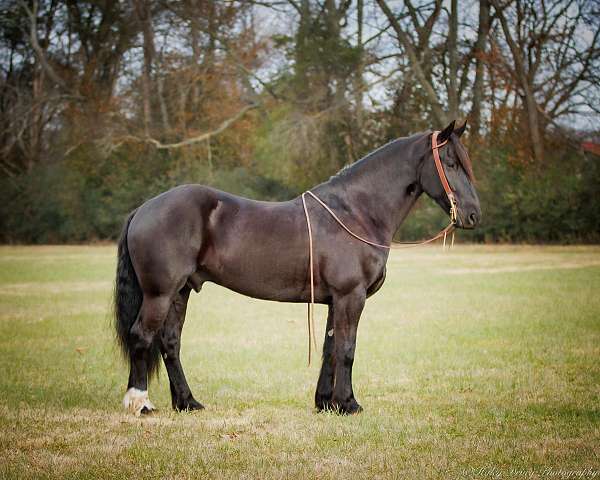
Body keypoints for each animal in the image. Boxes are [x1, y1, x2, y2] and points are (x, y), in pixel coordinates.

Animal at [113, 121, 478, 416]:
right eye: (450, 162)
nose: (473, 215)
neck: (355, 212)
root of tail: (144, 208)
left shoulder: (335, 300)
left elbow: (331, 349)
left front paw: (326, 403)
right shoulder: (351, 296)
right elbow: (347, 349)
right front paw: (349, 404)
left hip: (181, 292)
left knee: (170, 343)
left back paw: (187, 402)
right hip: (159, 294)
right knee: (141, 336)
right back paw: (140, 403)